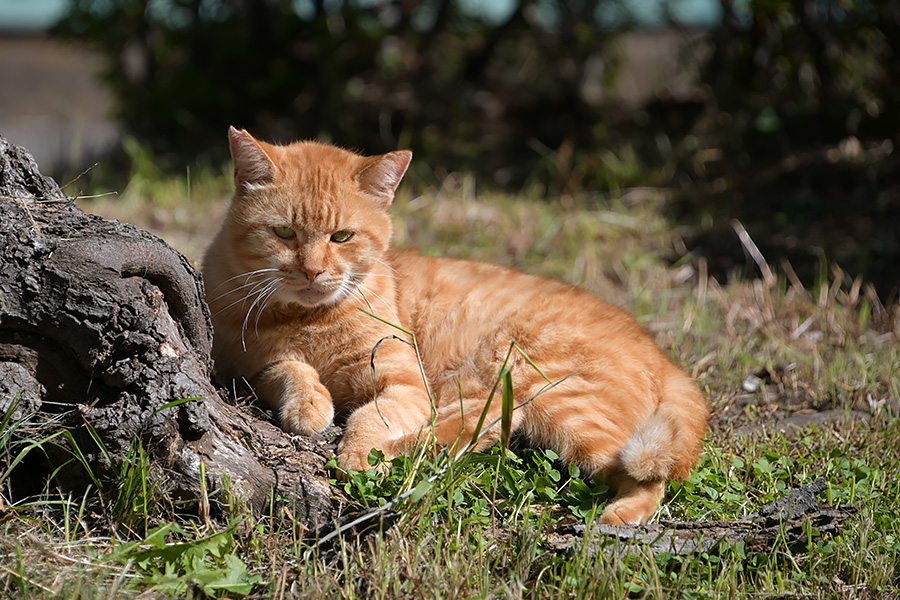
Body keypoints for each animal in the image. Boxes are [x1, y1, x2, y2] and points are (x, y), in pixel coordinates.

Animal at [204, 127, 712, 524]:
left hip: (550, 392)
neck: (311, 319)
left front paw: (354, 453)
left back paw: (615, 518)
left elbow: (370, 418)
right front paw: (310, 407)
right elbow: (289, 370)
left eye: (342, 237)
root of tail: (666, 359)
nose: (312, 271)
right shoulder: (243, 366)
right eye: (284, 233)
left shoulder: (405, 384)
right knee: (472, 430)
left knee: (648, 480)